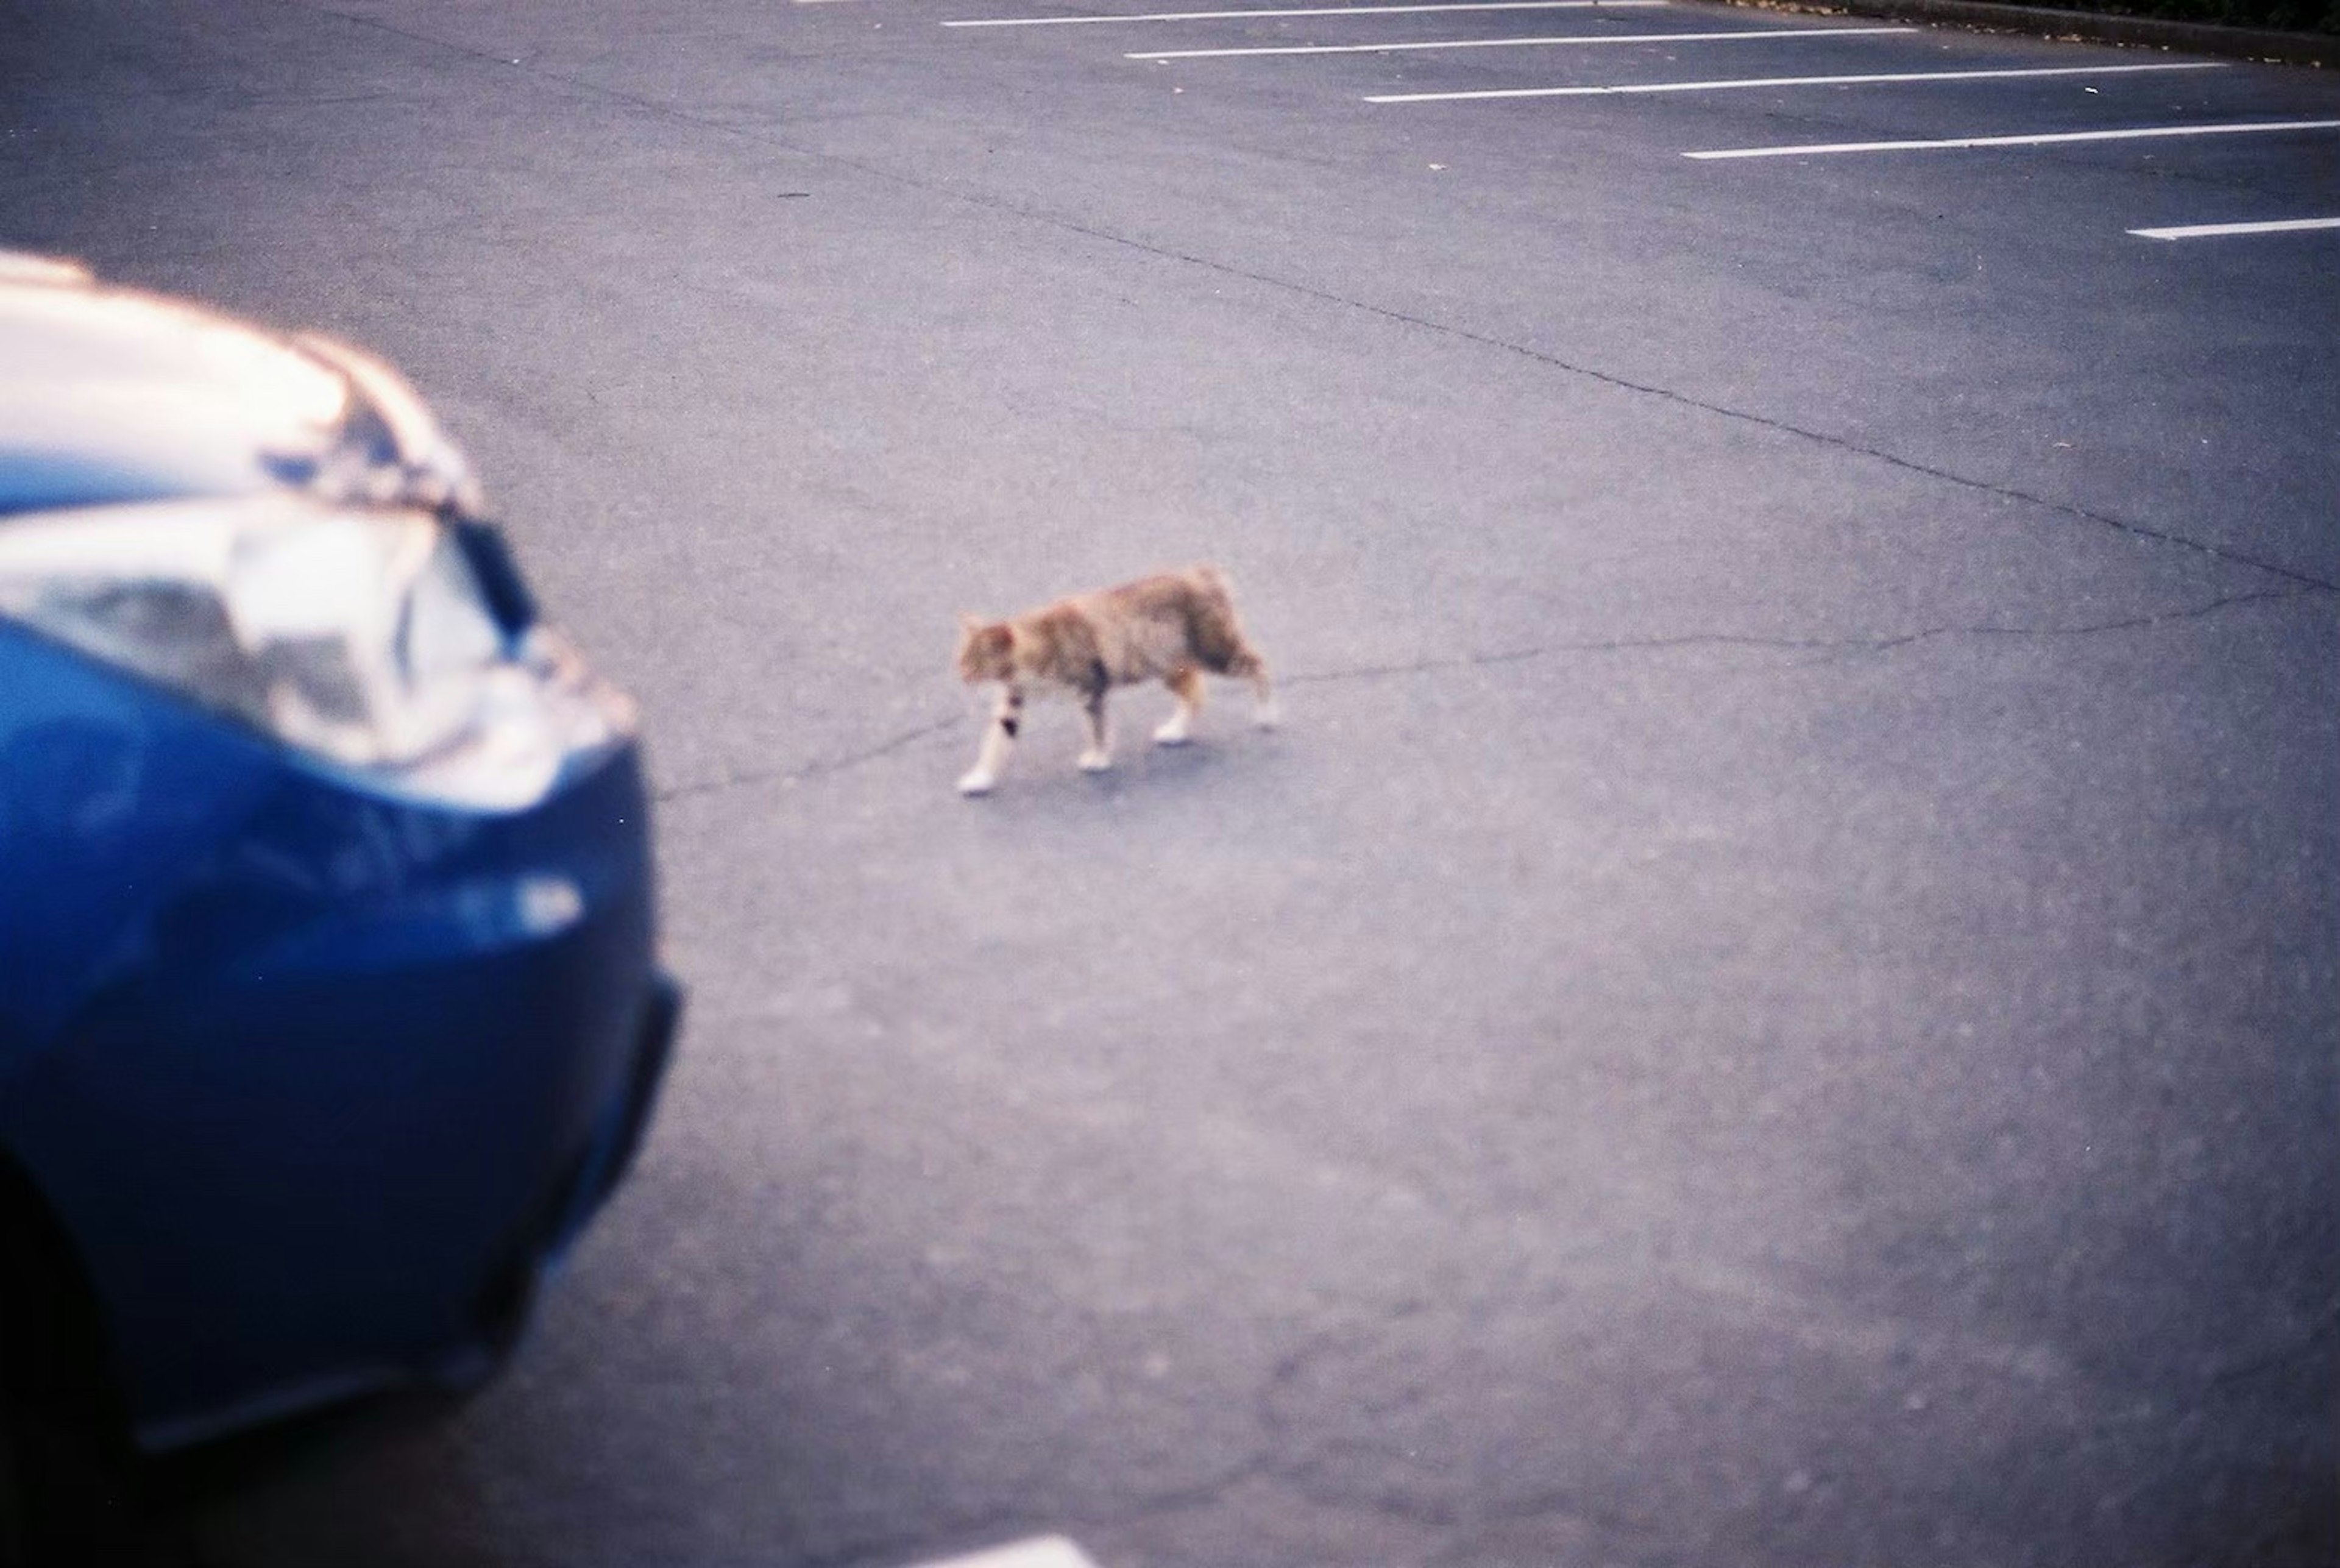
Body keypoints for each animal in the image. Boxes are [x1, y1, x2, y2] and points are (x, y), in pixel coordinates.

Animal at [954, 566, 1282, 800]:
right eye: (960, 658)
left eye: (975, 662)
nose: (961, 675)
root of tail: (1203, 572)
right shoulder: (1012, 701)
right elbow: (995, 743)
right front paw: (980, 778)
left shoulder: (1092, 688)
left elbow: (1097, 728)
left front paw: (1099, 758)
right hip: (1169, 664)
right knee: (1195, 693)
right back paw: (1175, 730)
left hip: (1216, 652)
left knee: (1258, 665)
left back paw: (1267, 714)